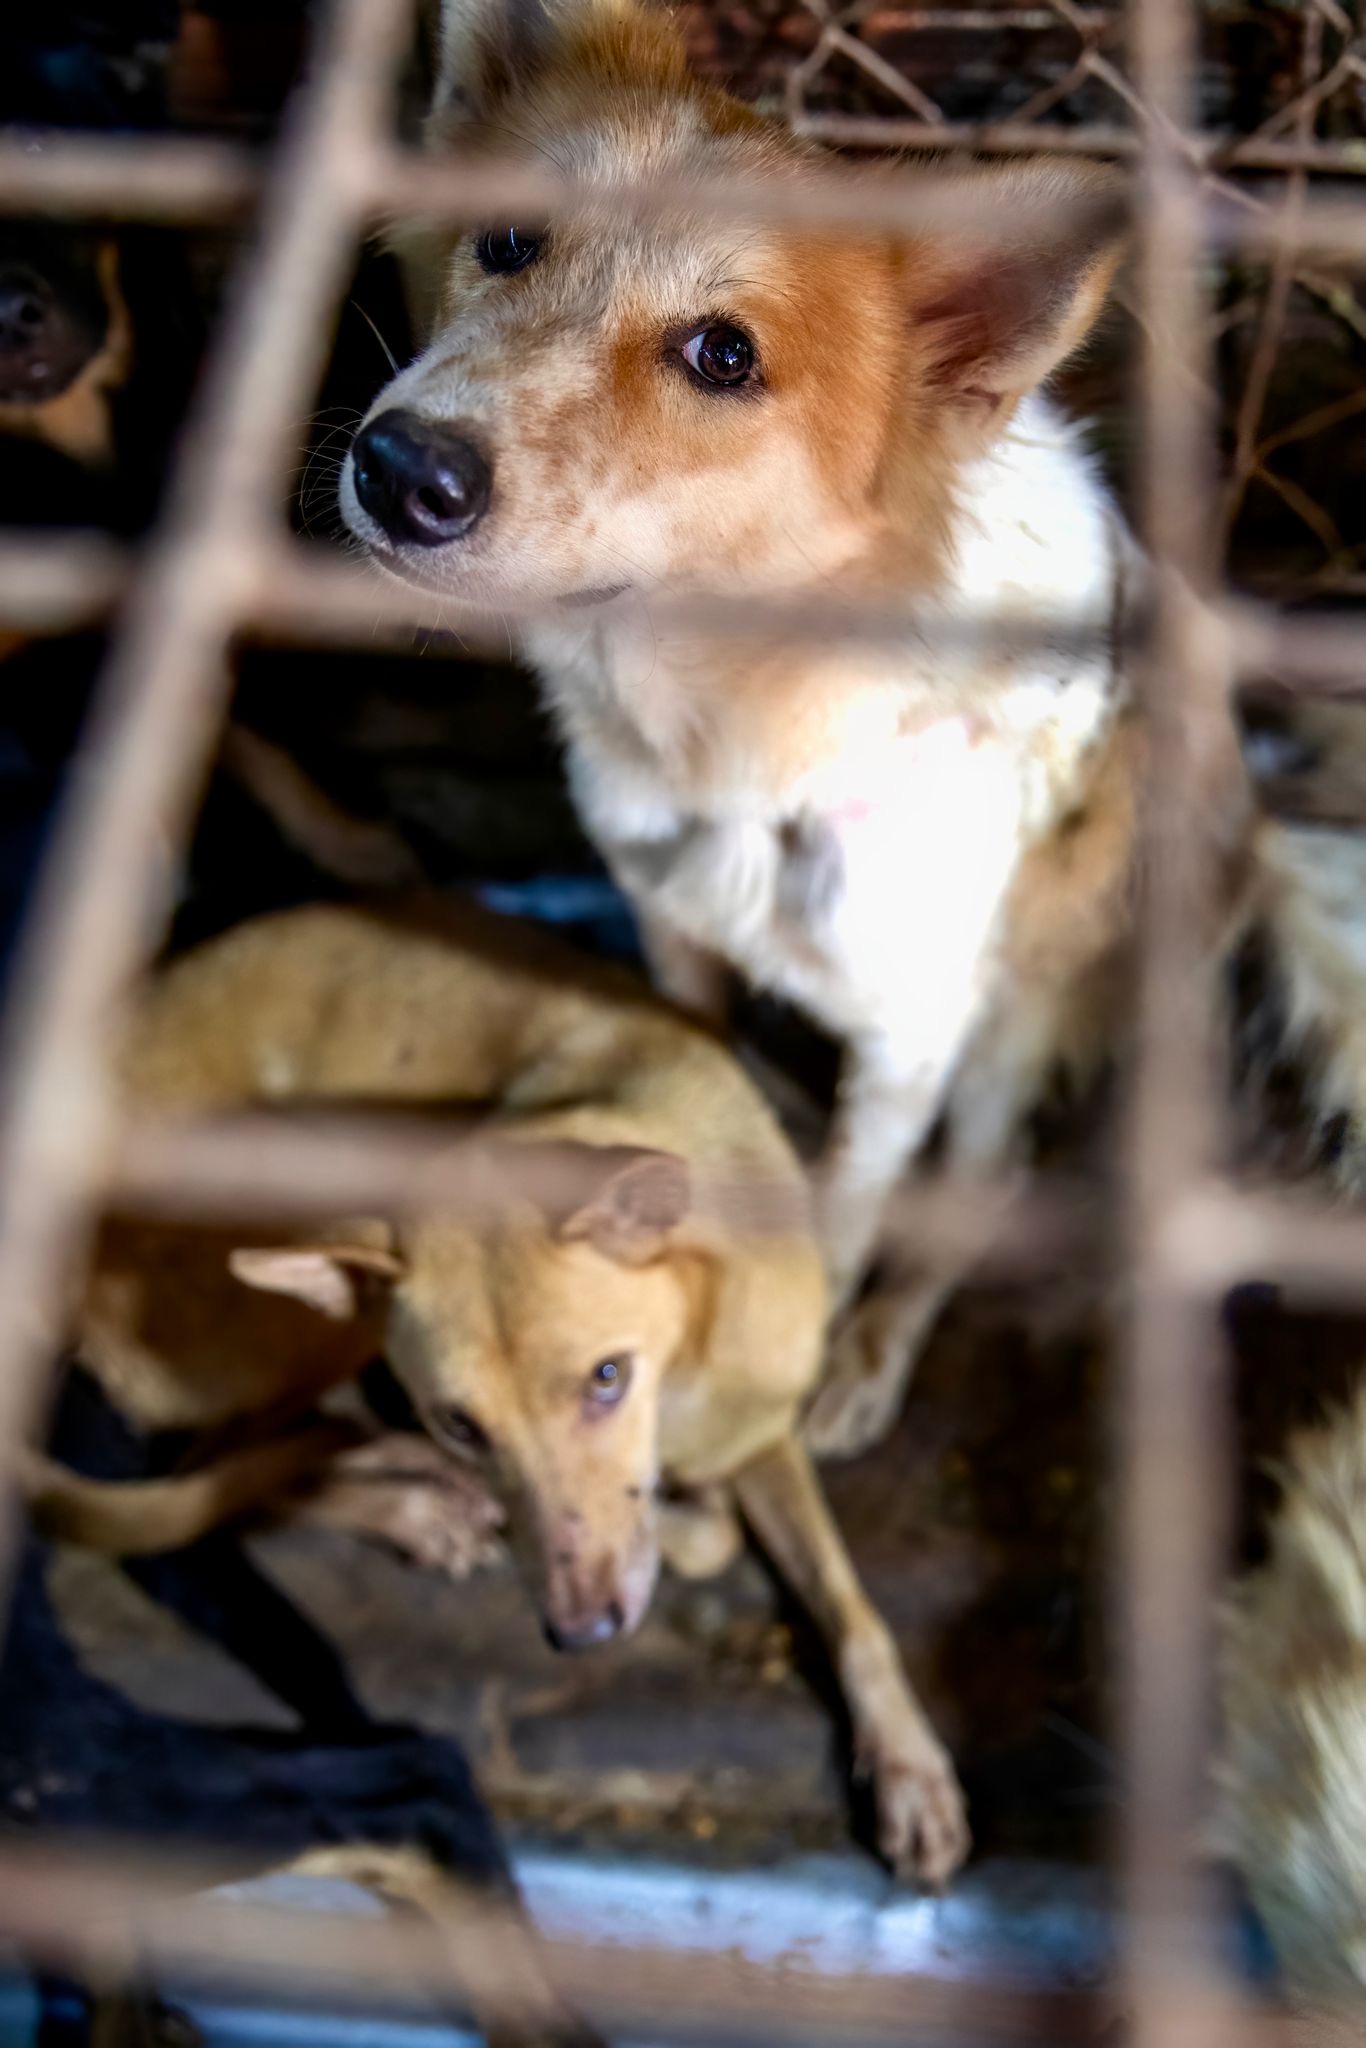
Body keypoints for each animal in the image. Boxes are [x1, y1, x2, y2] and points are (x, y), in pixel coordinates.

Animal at [24, 896, 969, 1886]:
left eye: (607, 1378)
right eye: (462, 1423)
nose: (581, 1635)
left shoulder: (758, 1433)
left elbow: (848, 1607)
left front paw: (908, 1769)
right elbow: (705, 1538)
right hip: (314, 1289)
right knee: (202, 1483)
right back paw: (413, 1505)